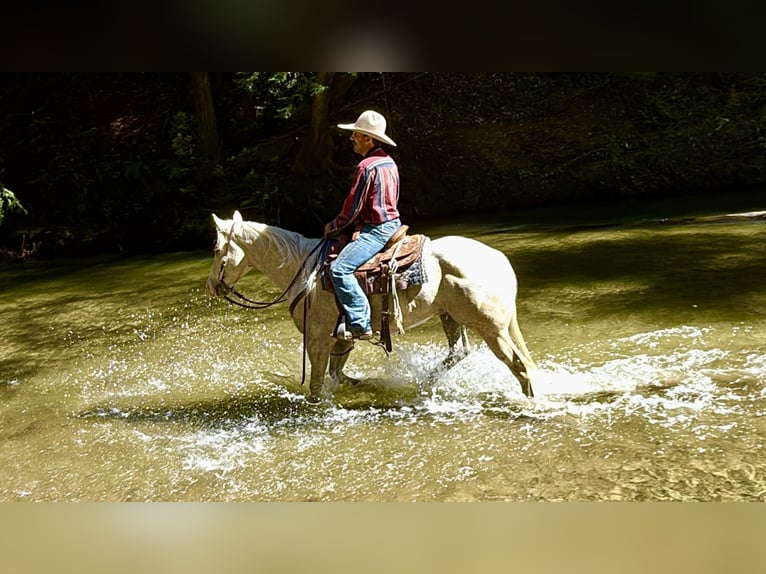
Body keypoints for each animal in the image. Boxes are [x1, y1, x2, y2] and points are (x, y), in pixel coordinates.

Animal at [206, 210, 537, 403]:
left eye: (216, 248)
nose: (211, 286)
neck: (304, 271)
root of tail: (499, 261)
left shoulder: (317, 338)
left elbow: (316, 384)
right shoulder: (340, 338)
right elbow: (337, 375)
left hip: (489, 328)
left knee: (519, 365)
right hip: (451, 317)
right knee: (459, 353)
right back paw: (422, 384)